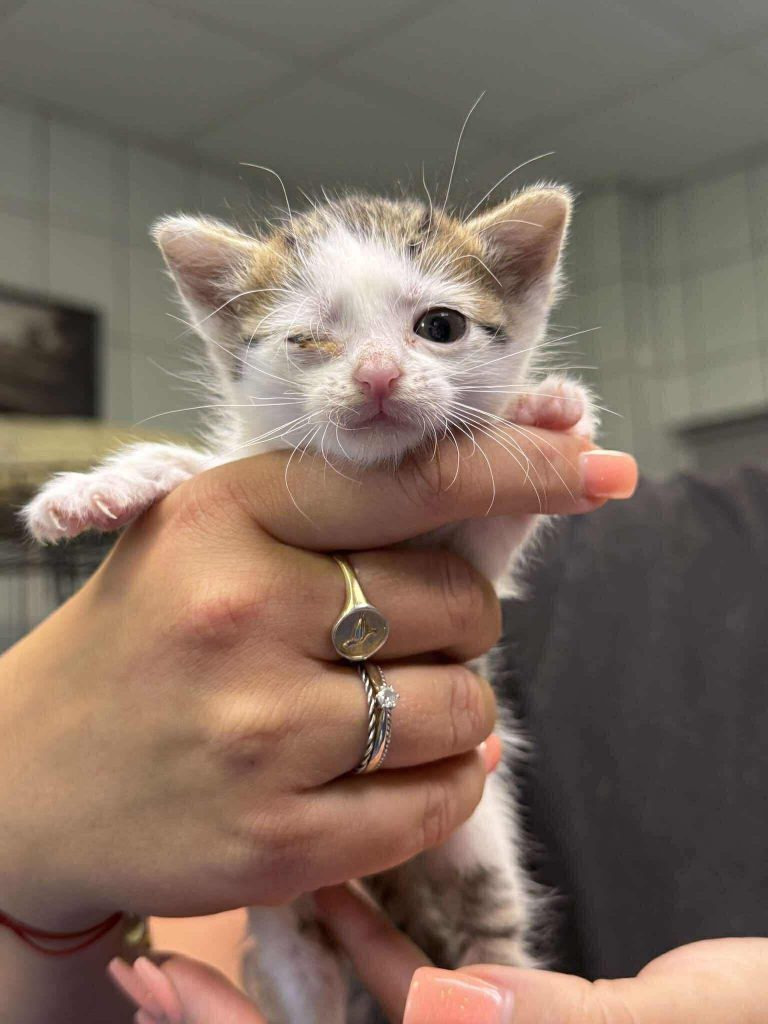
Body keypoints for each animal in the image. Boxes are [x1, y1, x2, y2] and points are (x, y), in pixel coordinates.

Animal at [23, 185, 596, 1023]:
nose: (379, 376)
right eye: (308, 338)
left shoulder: (476, 566)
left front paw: (543, 412)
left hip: (478, 852)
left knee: (492, 937)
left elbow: (494, 525)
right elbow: (198, 466)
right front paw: (101, 488)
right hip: (290, 921)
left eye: (441, 327)